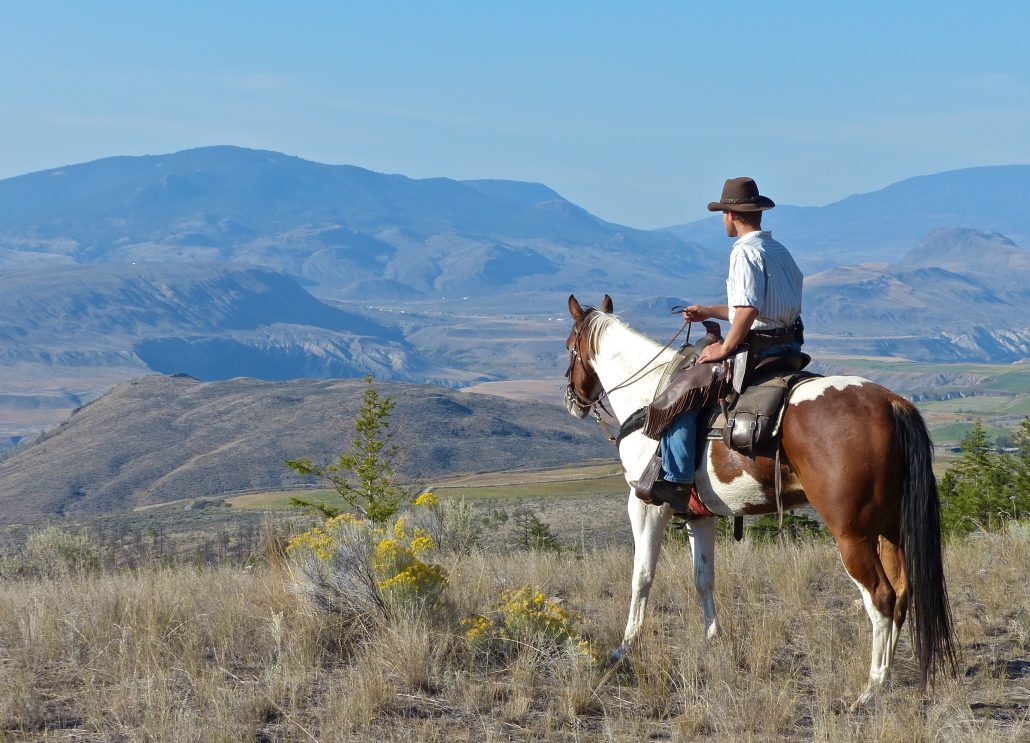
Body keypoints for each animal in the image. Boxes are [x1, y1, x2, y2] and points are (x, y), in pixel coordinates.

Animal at [564, 294, 955, 708]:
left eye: (569, 347)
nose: (572, 400)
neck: (648, 395)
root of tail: (892, 403)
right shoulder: (698, 516)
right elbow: (703, 577)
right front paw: (713, 638)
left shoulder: (646, 506)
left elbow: (641, 576)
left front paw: (624, 648)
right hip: (889, 528)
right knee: (902, 594)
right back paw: (889, 677)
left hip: (852, 534)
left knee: (880, 597)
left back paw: (871, 689)